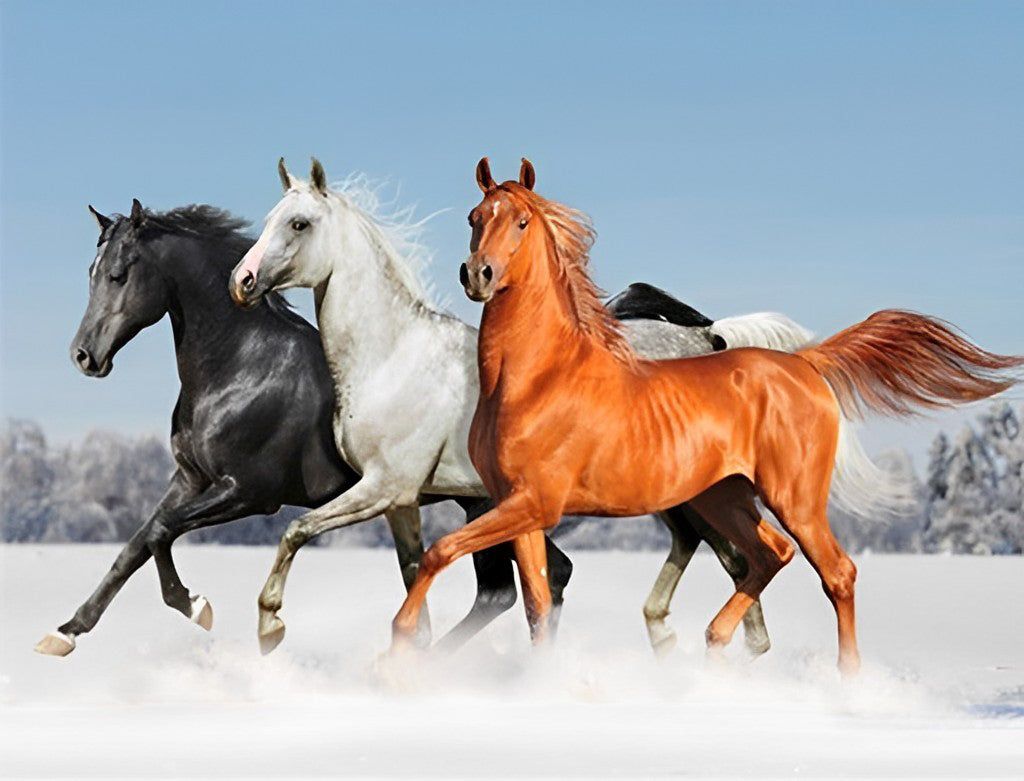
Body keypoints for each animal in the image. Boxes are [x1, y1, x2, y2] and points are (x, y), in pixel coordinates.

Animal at [35, 199, 571, 656]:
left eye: (119, 275)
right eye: (91, 273)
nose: (85, 356)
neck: (242, 366)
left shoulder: (248, 492)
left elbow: (162, 532)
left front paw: (196, 607)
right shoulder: (189, 479)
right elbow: (137, 543)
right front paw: (65, 632)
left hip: (482, 501)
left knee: (509, 588)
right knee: (535, 580)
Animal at [227, 158, 816, 656]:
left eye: (299, 224)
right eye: (270, 219)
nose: (242, 282)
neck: (392, 354)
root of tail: (709, 339)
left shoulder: (383, 487)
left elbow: (296, 531)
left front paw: (270, 626)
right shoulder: (401, 502)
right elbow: (414, 575)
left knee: (737, 557)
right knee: (721, 553)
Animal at [389, 158, 1022, 675]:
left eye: (520, 222)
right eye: (474, 215)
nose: (478, 274)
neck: (538, 377)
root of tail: (804, 363)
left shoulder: (534, 502)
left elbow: (441, 553)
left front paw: (396, 649)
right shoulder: (517, 506)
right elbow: (537, 607)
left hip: (792, 497)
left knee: (835, 572)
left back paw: (845, 684)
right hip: (725, 496)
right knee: (767, 555)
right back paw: (714, 643)